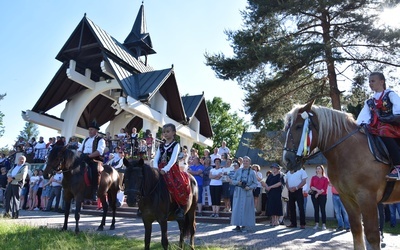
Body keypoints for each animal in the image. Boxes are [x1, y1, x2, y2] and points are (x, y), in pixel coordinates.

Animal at [282, 101, 400, 250]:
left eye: (298, 126)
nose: (287, 160)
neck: (347, 150)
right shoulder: (347, 198)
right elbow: (357, 231)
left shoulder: (367, 197)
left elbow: (372, 235)